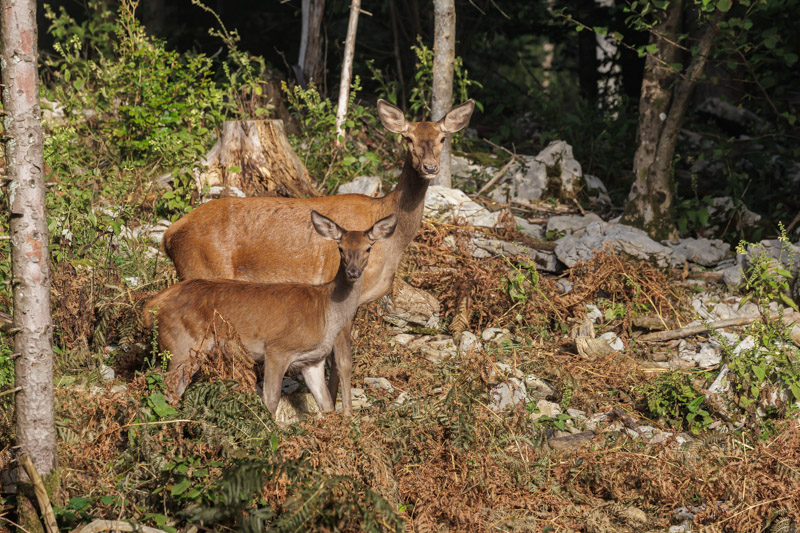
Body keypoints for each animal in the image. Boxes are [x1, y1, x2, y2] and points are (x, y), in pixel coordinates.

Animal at [145, 210, 398, 414]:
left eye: (368, 248)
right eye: (341, 248)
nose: (353, 272)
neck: (326, 312)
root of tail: (152, 305)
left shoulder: (312, 361)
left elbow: (326, 404)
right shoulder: (278, 349)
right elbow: (271, 400)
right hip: (182, 344)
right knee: (165, 388)